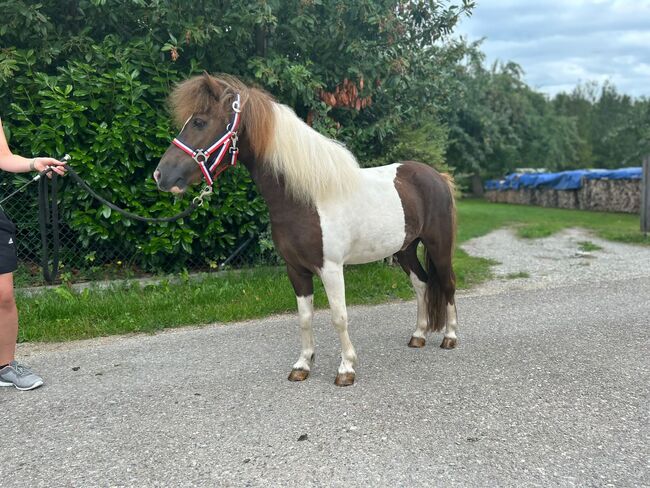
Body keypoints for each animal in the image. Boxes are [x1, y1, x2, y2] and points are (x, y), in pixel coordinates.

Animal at [154, 73, 458, 386]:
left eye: (200, 122)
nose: (161, 175)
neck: (306, 199)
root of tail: (437, 176)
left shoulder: (331, 268)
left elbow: (339, 316)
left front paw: (346, 369)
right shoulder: (296, 269)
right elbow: (304, 317)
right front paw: (302, 365)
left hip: (438, 244)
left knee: (447, 283)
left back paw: (449, 337)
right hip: (406, 249)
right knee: (422, 284)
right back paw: (418, 336)